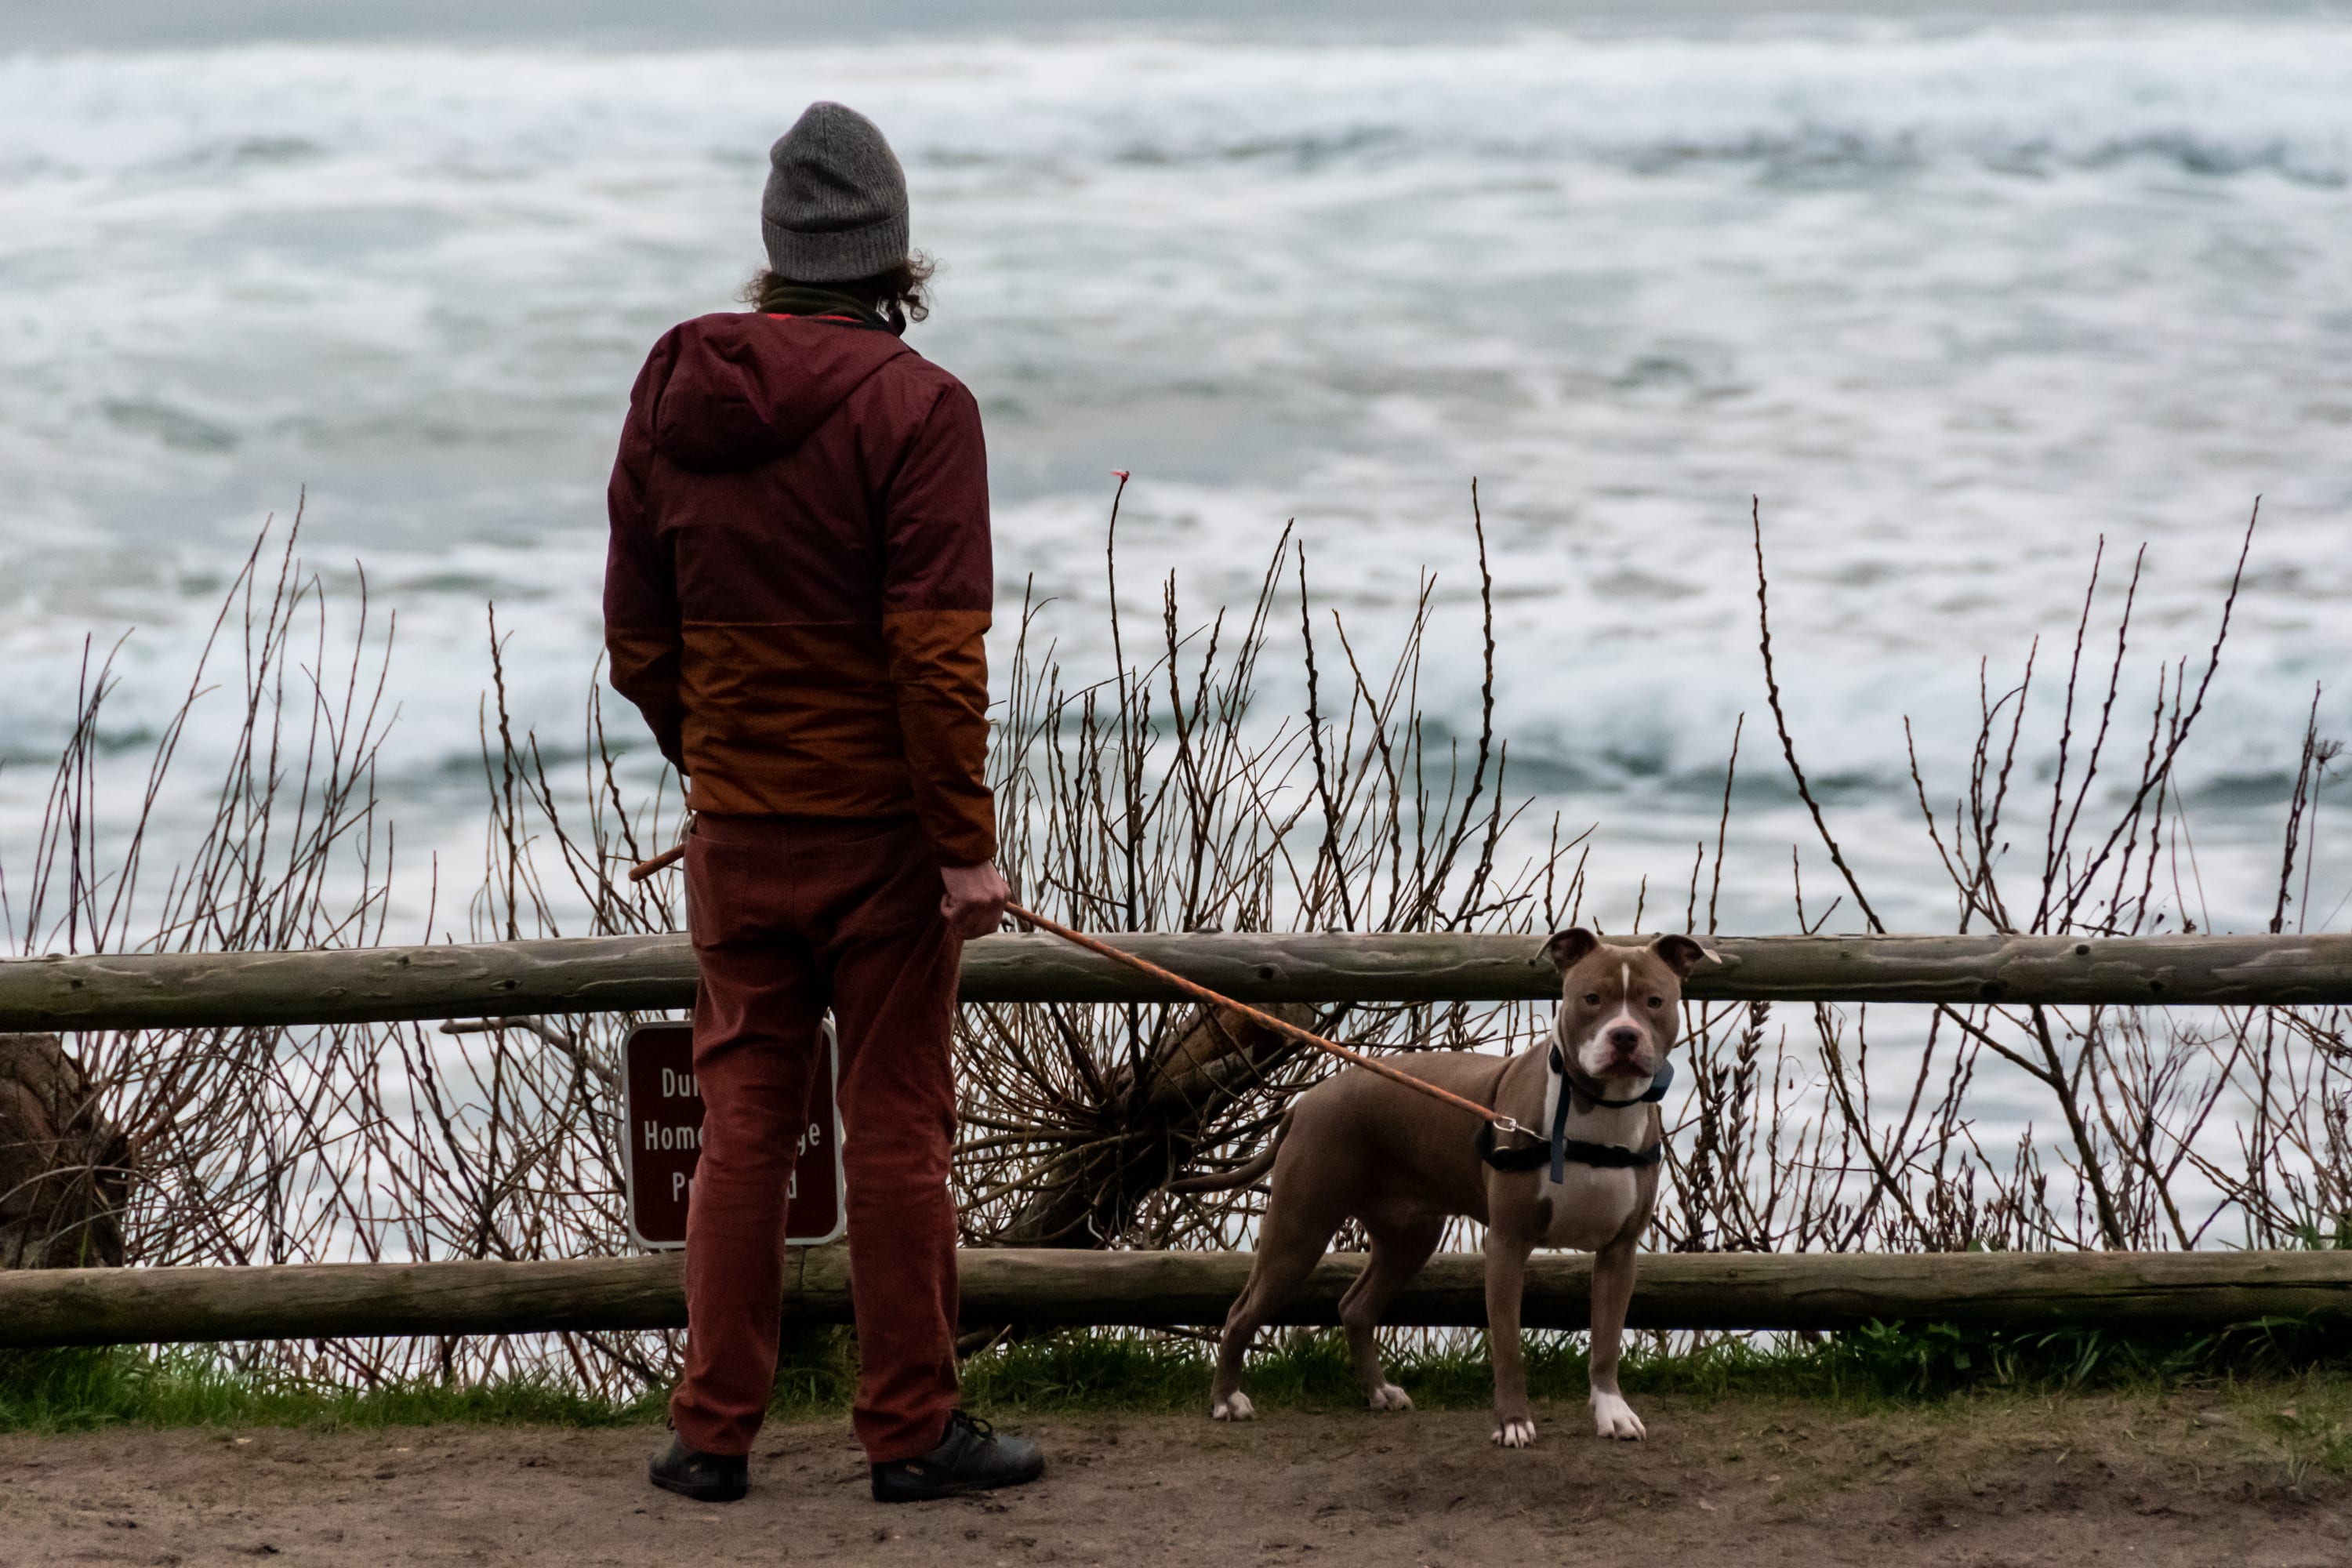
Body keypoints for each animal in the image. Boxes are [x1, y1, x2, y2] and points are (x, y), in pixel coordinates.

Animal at [1188, 928, 1711, 1447]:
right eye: (1592, 999)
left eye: (1654, 1001)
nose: (1625, 1035)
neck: (1594, 1113)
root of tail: (1306, 1101)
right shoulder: (1507, 1243)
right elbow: (1508, 1346)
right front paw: (1513, 1423)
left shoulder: (1619, 1252)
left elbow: (1606, 1341)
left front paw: (1613, 1413)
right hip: (1300, 1227)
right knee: (1241, 1311)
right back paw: (1226, 1401)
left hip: (1409, 1237)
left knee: (1355, 1306)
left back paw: (1379, 1392)